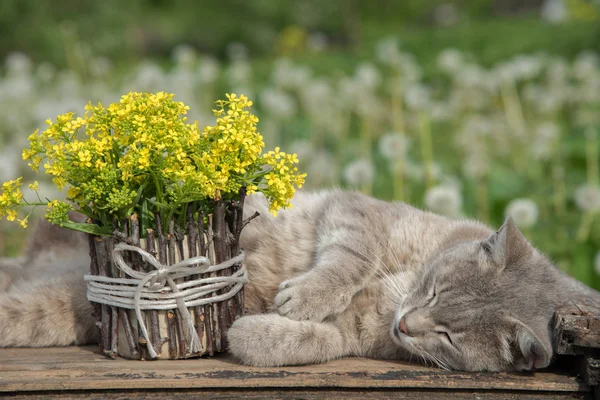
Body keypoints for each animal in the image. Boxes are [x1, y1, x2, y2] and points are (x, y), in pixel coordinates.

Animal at [0, 191, 592, 372]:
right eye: (432, 291)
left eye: (448, 335)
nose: (407, 322)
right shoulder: (357, 210)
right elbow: (353, 255)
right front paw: (307, 293)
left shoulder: (356, 336)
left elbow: (310, 342)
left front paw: (256, 330)